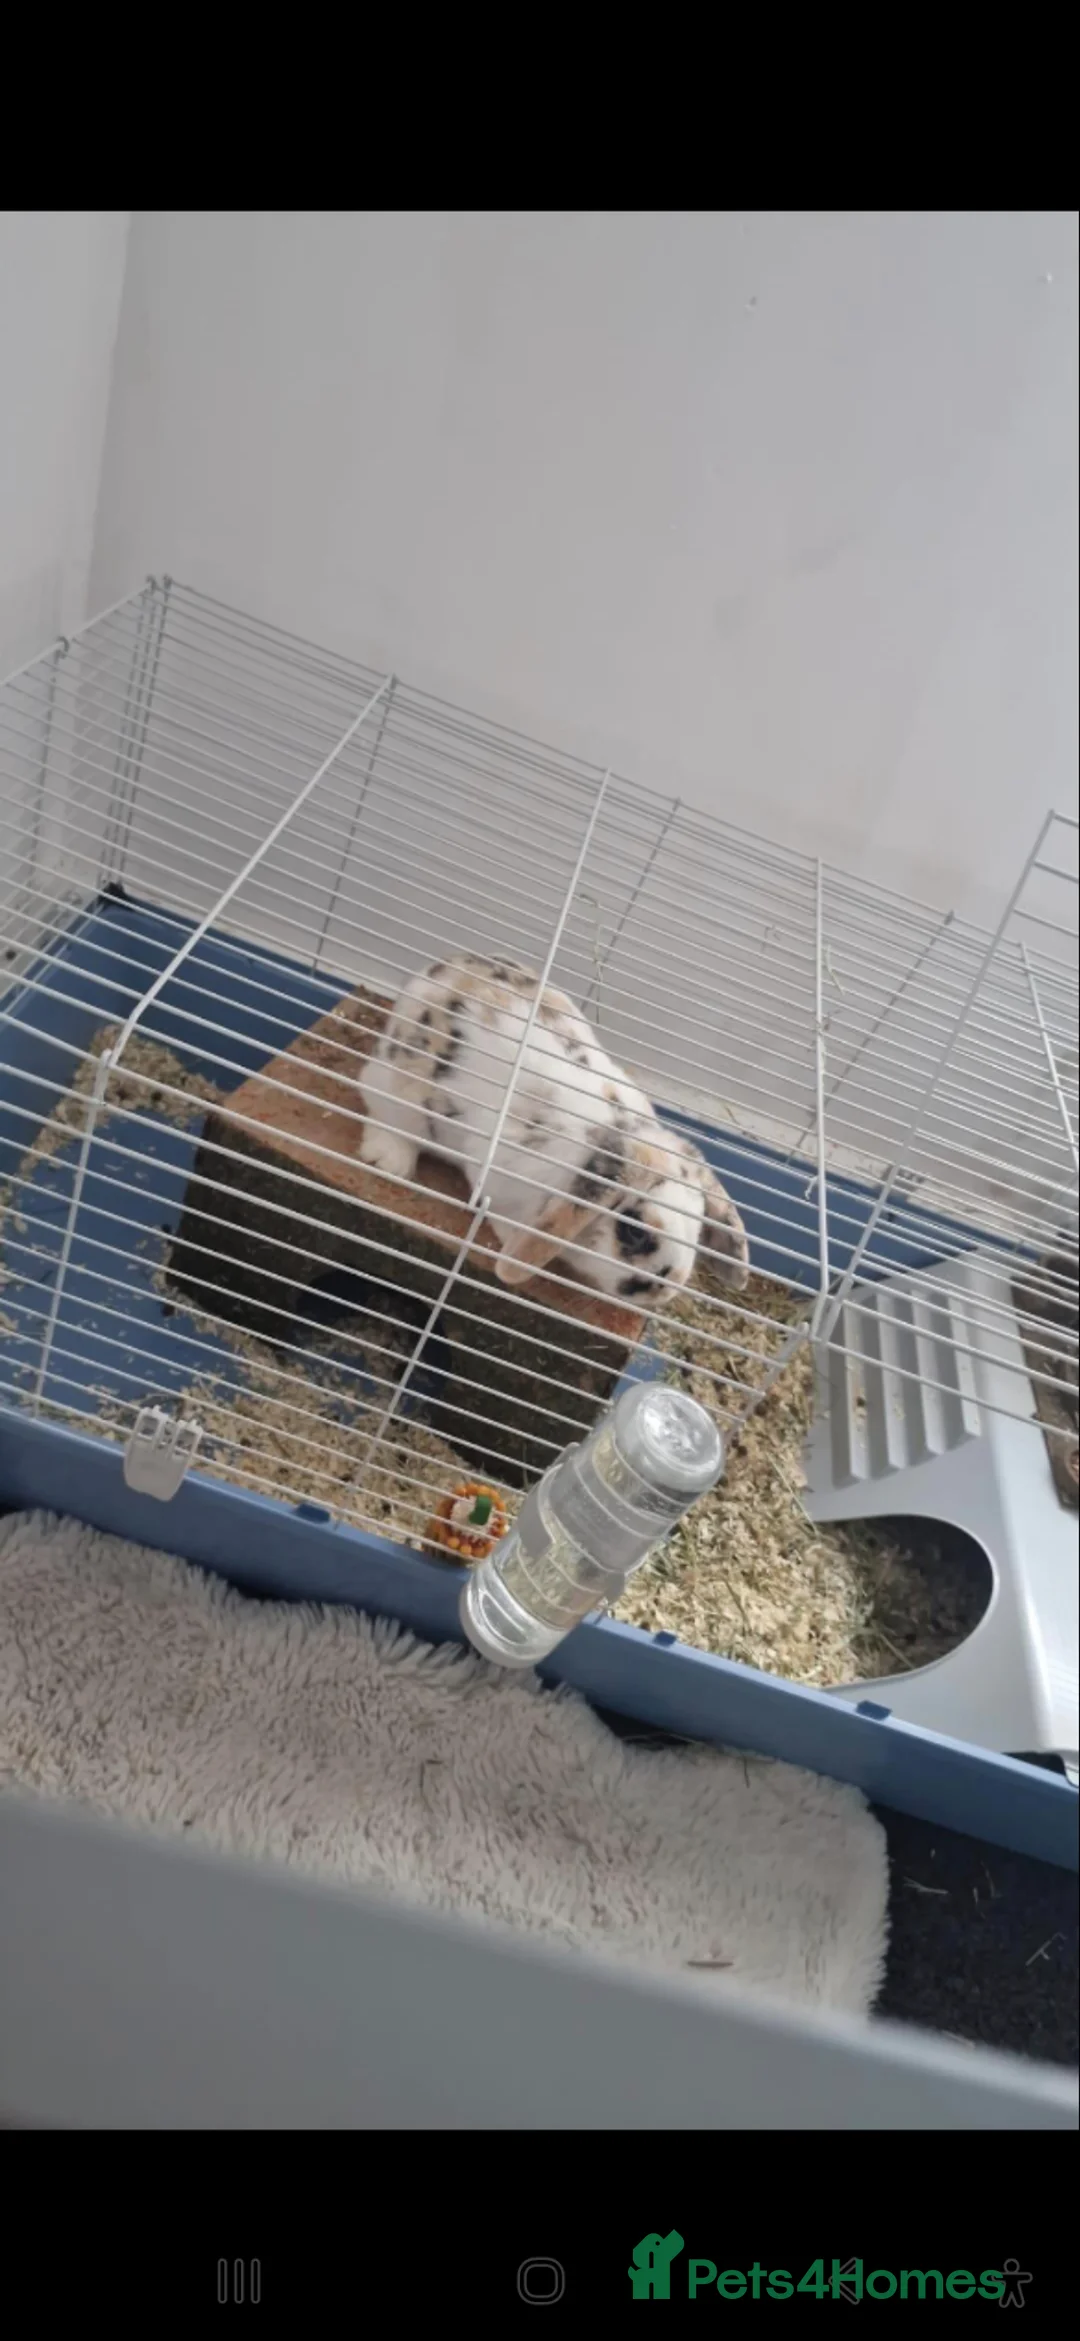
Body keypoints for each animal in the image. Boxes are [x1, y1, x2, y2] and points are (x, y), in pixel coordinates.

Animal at [357, 952, 750, 1304]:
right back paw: (390, 1160)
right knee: (376, 1103)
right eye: (633, 1230)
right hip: (400, 1096)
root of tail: (431, 974)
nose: (665, 1288)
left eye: (698, 1227)